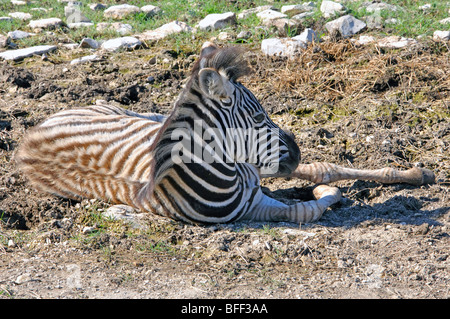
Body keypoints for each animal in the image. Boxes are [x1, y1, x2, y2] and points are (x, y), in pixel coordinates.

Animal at [15, 43, 434, 225]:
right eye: (260, 115)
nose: (296, 151)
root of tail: (26, 140)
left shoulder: (254, 172)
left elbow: (322, 168)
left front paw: (412, 174)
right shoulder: (258, 203)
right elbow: (306, 207)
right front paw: (323, 193)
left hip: (132, 112)